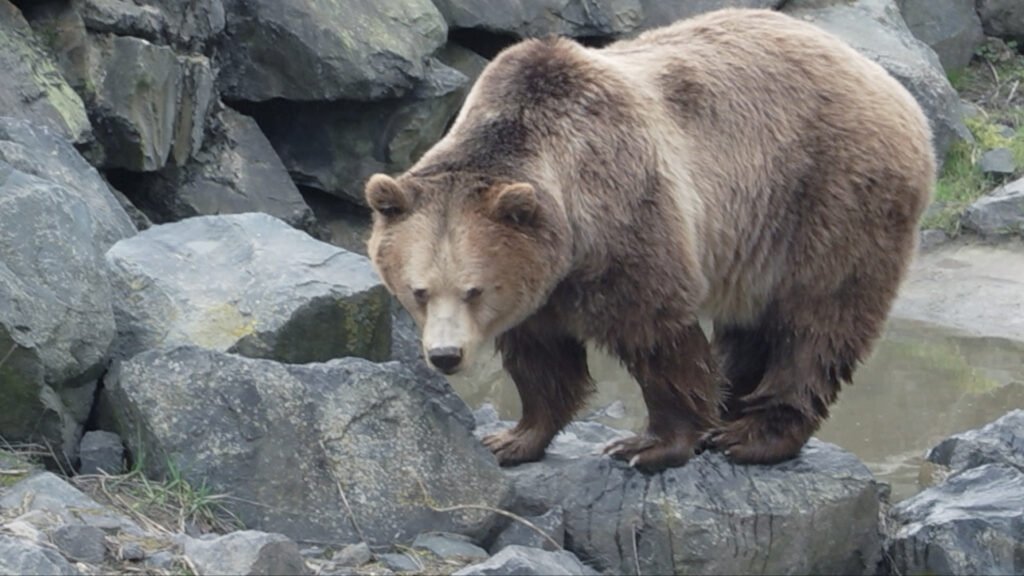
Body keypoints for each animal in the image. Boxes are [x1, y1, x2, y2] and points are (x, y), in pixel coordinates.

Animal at [366, 6, 937, 469]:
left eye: (473, 290)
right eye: (419, 290)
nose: (445, 356)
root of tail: (890, 84)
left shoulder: (627, 214)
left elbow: (657, 333)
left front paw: (648, 444)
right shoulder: (540, 273)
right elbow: (541, 357)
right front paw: (512, 439)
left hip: (829, 197)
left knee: (817, 322)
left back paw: (752, 435)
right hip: (758, 239)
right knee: (751, 324)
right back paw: (729, 409)